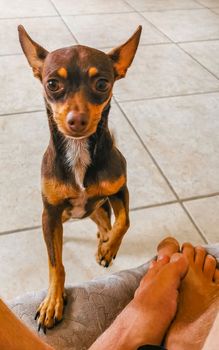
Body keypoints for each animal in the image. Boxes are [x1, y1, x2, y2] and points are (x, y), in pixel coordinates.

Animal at [17, 24, 142, 330]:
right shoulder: (49, 215)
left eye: (102, 84)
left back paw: (104, 242)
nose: (77, 120)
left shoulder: (120, 190)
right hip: (60, 217)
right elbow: (56, 264)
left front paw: (108, 250)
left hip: (100, 206)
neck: (78, 151)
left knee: (107, 222)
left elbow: (125, 221)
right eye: (52, 84)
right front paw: (53, 301)